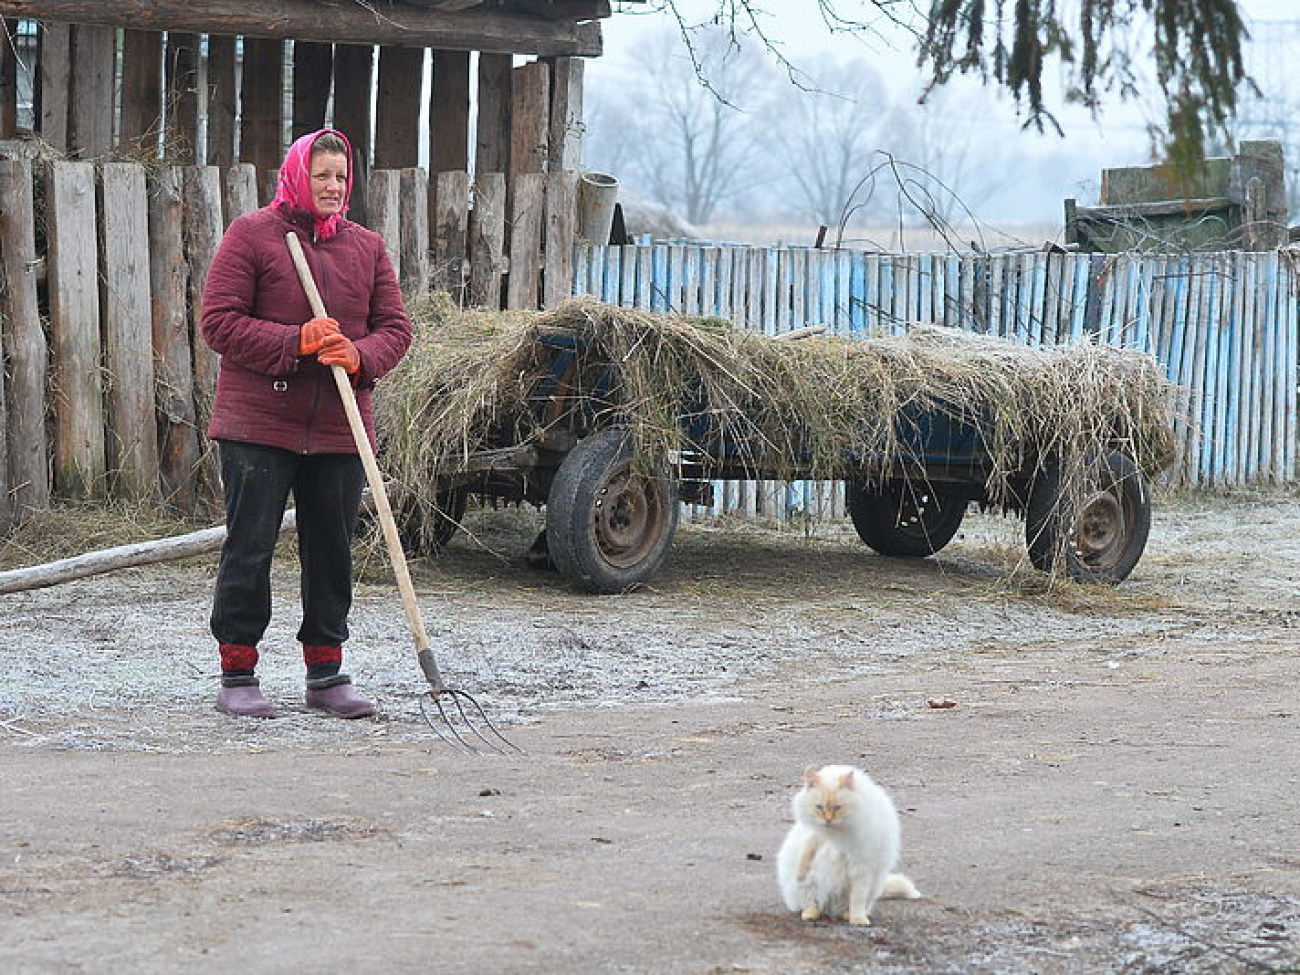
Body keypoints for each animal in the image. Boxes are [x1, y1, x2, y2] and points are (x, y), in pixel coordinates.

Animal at [774, 769, 920, 925]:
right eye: (819, 807)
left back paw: (846, 915)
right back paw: (810, 914)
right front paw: (800, 873)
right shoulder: (815, 836)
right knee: (812, 902)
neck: (836, 833)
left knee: (849, 905)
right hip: (810, 884)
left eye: (837, 807)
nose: (827, 820)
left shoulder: (861, 867)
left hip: (872, 884)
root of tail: (830, 910)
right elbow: (806, 854)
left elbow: (857, 899)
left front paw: (858, 919)